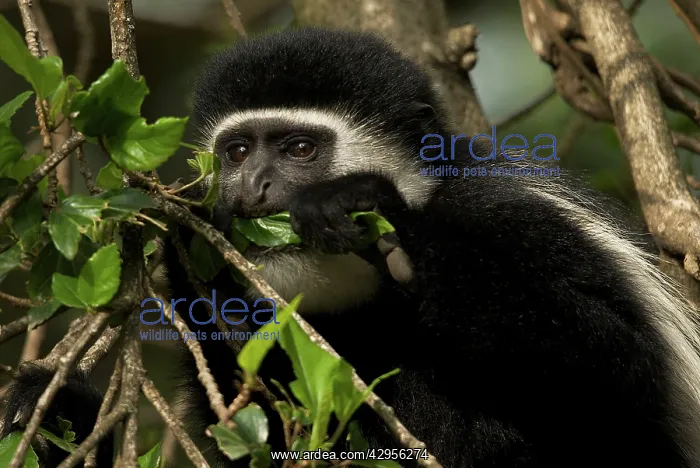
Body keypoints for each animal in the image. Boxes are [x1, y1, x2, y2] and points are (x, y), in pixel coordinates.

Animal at [3, 26, 700, 468]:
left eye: (299, 150)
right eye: (237, 153)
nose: (252, 189)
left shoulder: (520, 221)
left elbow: (616, 364)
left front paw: (370, 213)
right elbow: (248, 425)